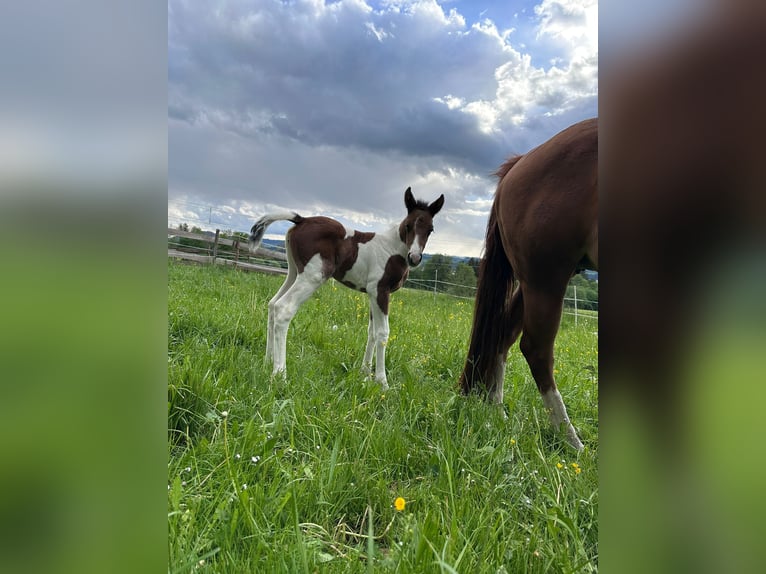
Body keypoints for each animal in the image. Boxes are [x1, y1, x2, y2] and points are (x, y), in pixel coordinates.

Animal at [249, 188, 445, 388]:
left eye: (430, 229)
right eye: (408, 225)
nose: (415, 258)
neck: (392, 249)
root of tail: (301, 219)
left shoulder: (372, 294)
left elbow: (371, 332)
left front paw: (365, 373)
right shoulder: (380, 291)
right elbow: (382, 333)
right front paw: (382, 382)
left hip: (294, 272)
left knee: (273, 304)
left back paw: (268, 362)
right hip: (314, 275)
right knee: (283, 308)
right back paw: (280, 374)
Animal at [459, 118, 597, 450]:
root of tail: (520, 163)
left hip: (535, 281)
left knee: (503, 334)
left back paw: (497, 410)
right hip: (546, 279)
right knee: (536, 349)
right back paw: (571, 440)